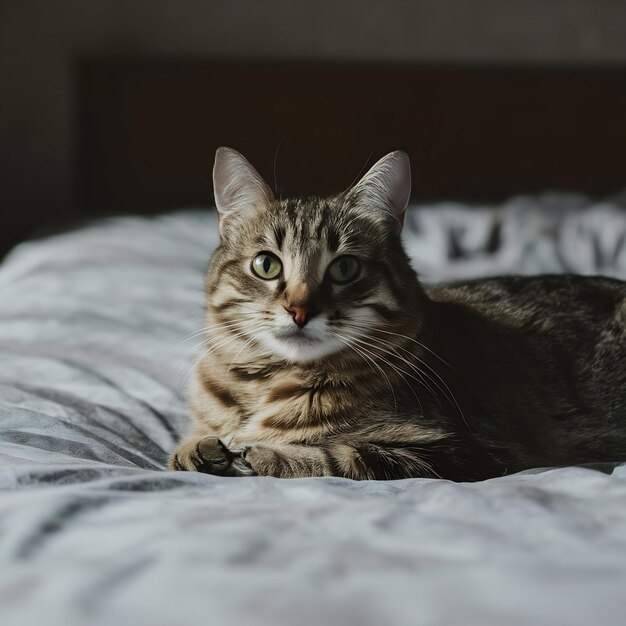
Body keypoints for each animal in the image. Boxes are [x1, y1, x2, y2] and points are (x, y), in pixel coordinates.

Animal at [167, 146, 624, 478]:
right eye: (266, 264)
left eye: (344, 268)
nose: (299, 311)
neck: (263, 383)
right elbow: (183, 449)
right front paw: (199, 449)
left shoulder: (457, 450)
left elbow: (341, 455)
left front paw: (257, 453)